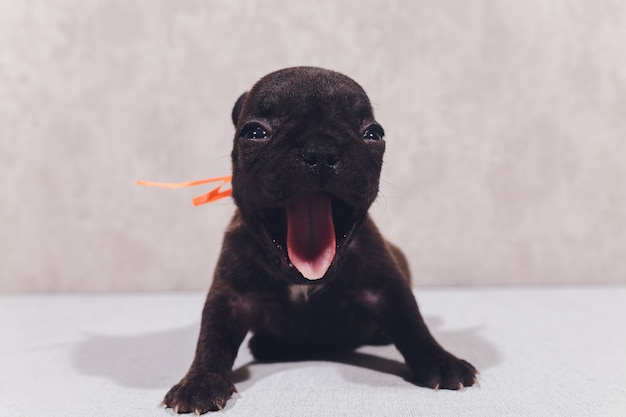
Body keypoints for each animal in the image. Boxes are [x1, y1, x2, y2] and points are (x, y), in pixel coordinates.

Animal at [163, 66, 476, 412]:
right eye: (255, 132)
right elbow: (212, 336)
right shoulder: (231, 294)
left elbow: (411, 322)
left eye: (373, 134)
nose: (321, 150)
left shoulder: (385, 285)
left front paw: (440, 360)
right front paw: (200, 380)